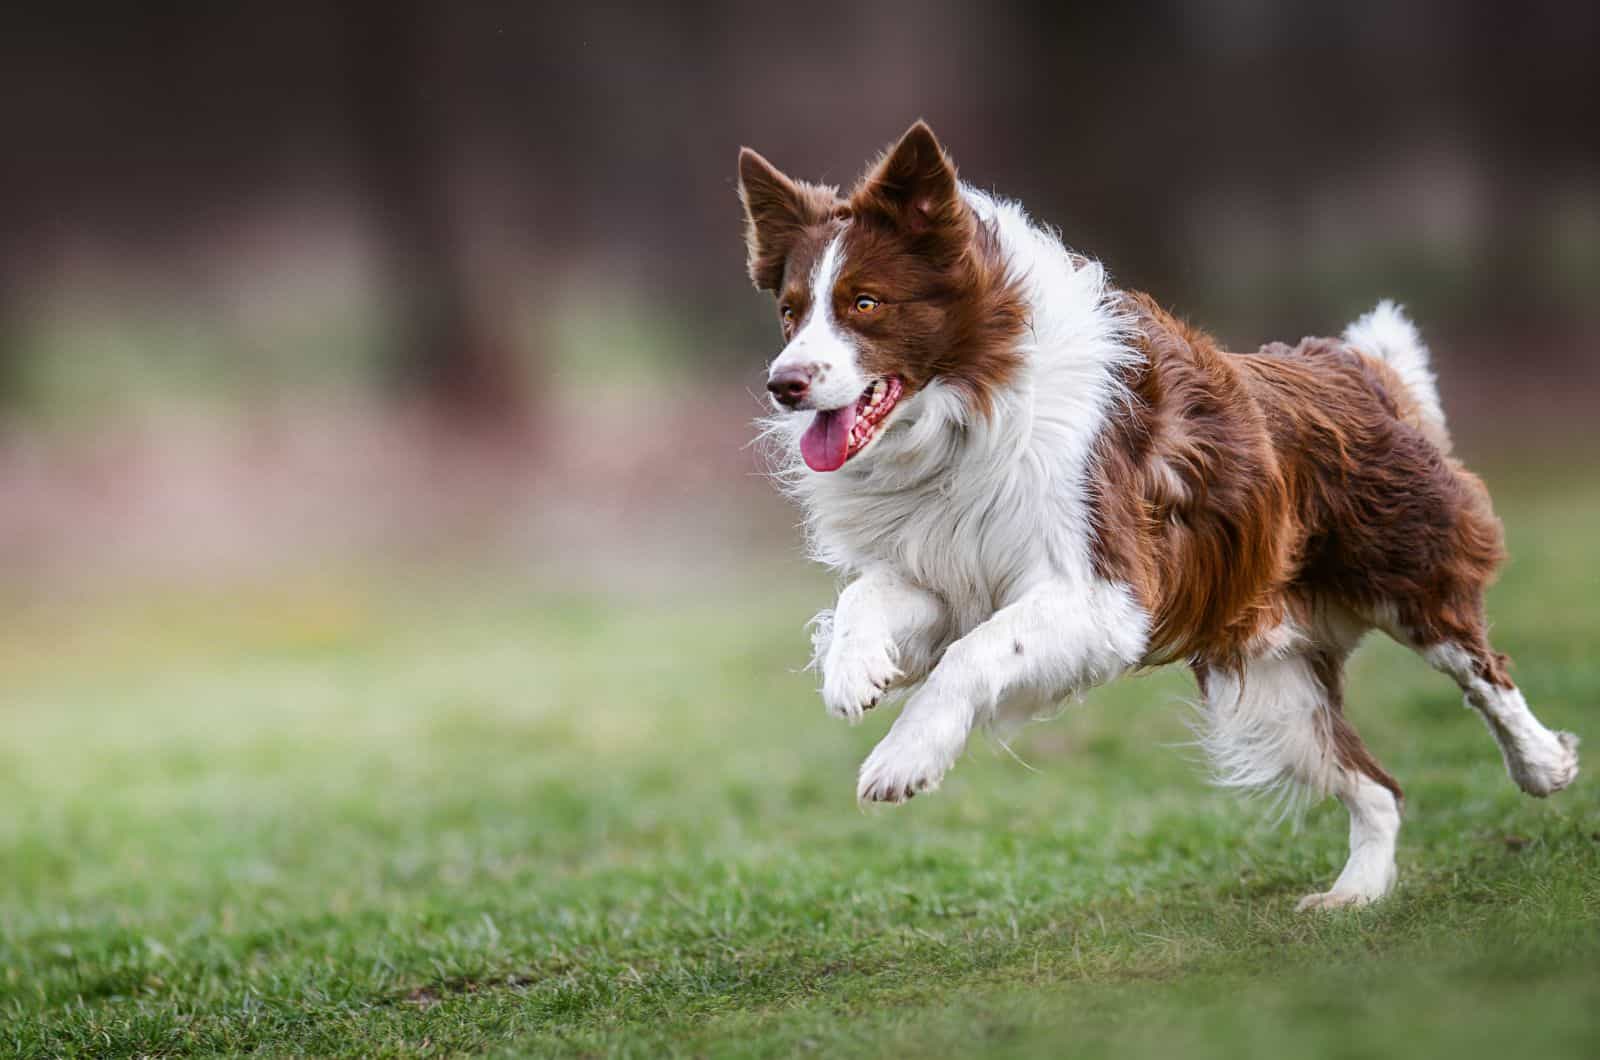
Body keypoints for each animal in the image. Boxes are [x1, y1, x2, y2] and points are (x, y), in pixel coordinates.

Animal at [732, 120, 1574, 909]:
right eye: (791, 312)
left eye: (864, 303)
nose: (784, 383)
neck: (967, 408)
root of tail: (1352, 366)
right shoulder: (949, 567)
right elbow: (865, 596)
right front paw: (856, 672)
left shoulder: (1106, 592)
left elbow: (976, 653)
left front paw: (904, 759)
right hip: (1269, 679)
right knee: (1376, 784)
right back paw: (1355, 895)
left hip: (1406, 572)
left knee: (1481, 671)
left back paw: (1545, 764)